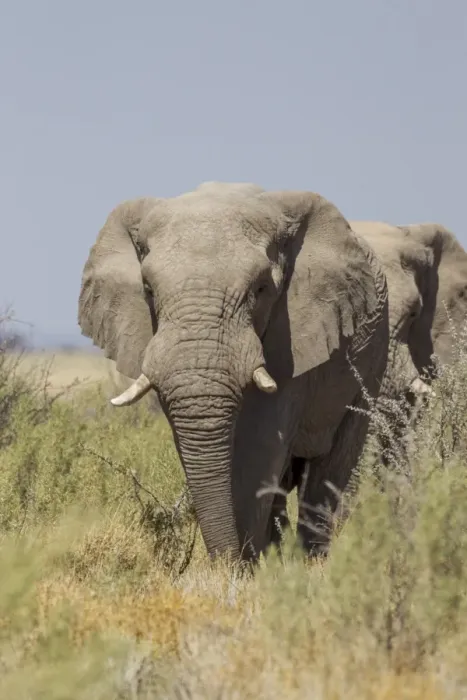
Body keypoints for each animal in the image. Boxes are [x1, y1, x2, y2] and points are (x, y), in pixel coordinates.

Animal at [78, 182, 391, 563]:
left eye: (261, 289)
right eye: (148, 290)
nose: (224, 564)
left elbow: (259, 445)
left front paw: (244, 571)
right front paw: (248, 568)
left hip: (374, 352)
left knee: (329, 471)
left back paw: (310, 565)